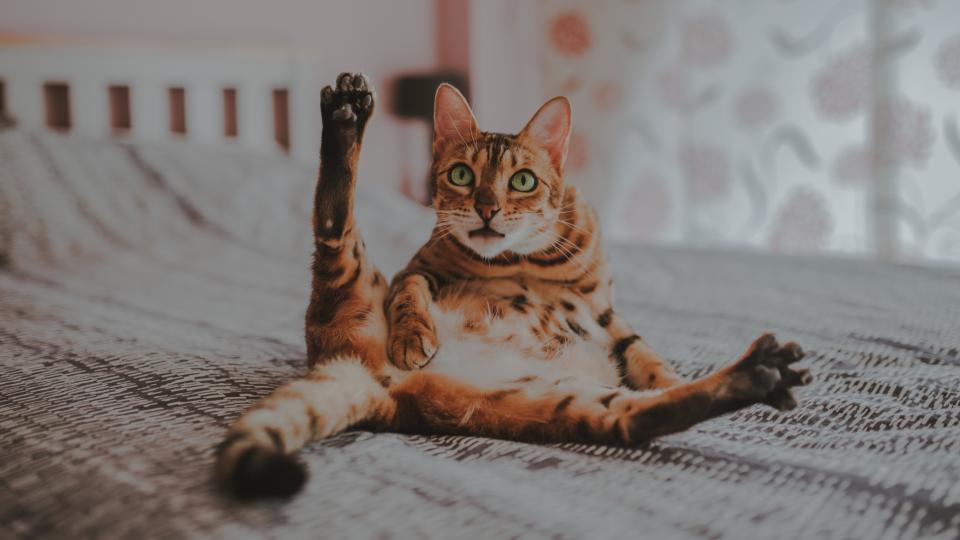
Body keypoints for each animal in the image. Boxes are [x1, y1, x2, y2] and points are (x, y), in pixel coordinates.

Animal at [212, 71, 808, 498]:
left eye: (522, 180)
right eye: (460, 175)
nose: (486, 208)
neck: (524, 260)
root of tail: (378, 386)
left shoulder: (609, 314)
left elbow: (653, 362)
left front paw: (669, 376)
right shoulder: (415, 270)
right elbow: (411, 295)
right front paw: (414, 336)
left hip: (556, 403)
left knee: (638, 417)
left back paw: (758, 373)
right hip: (354, 275)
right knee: (333, 217)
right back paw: (346, 116)